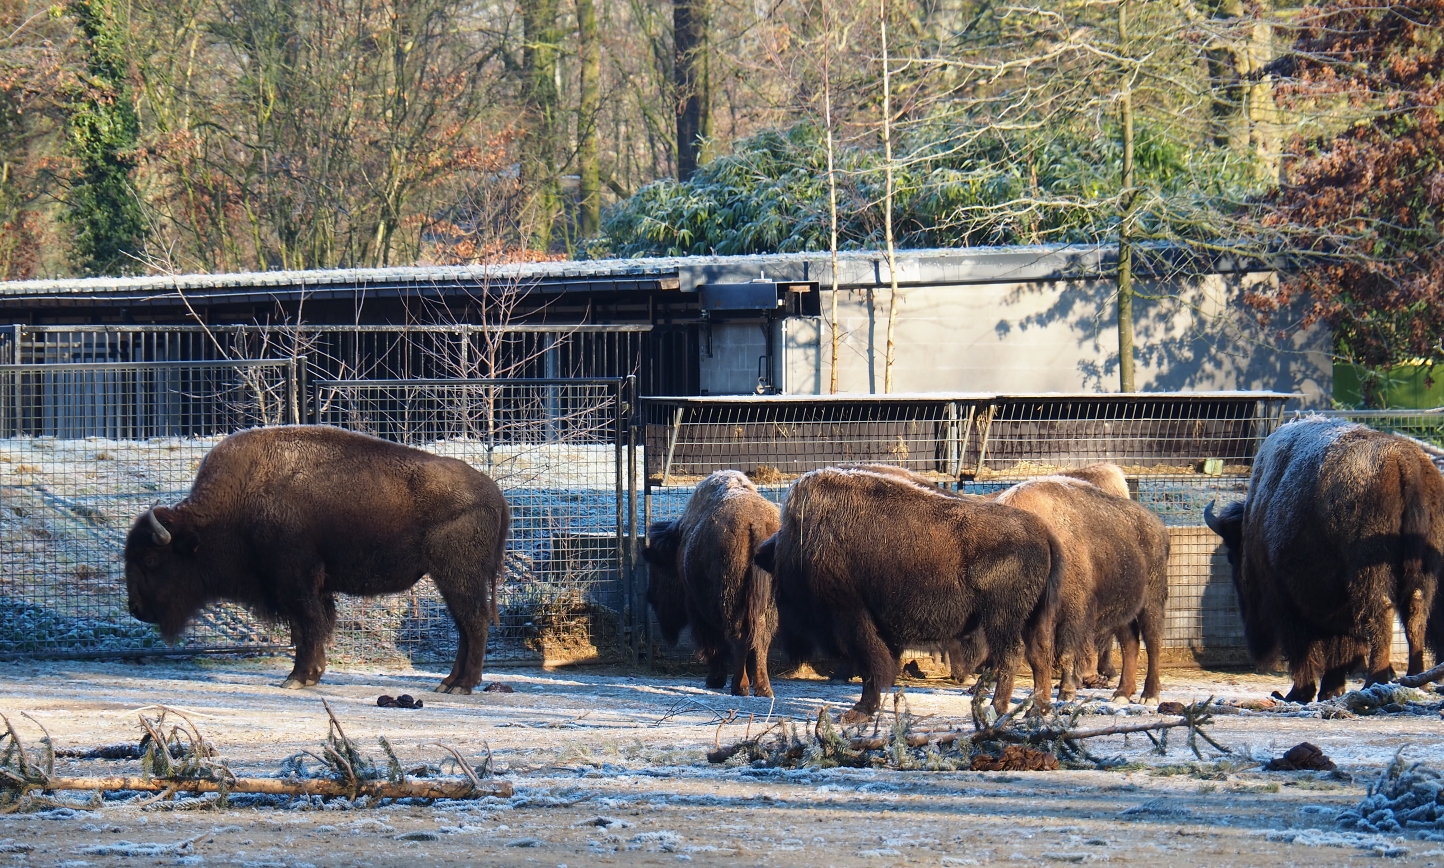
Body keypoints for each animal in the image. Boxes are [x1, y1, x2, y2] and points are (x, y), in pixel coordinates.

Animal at [124, 425, 510, 694]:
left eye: (150, 559)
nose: (136, 609)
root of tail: (494, 493)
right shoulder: (308, 588)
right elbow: (312, 627)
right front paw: (311, 675)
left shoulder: (295, 582)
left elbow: (308, 627)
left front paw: (296, 678)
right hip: (454, 578)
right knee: (465, 626)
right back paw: (449, 682)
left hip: (456, 575)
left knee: (473, 622)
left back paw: (461, 685)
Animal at [644, 470, 781, 696]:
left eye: (658, 567)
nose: (650, 597)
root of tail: (756, 522)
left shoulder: (696, 609)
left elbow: (712, 644)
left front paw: (714, 679)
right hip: (766, 604)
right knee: (760, 638)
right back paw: (762, 688)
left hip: (729, 603)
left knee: (738, 637)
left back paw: (739, 686)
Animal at [755, 467, 1063, 721]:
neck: (803, 543)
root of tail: (1044, 533)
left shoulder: (853, 619)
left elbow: (872, 664)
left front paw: (858, 712)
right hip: (1034, 618)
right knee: (1039, 655)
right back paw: (1037, 709)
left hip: (1002, 619)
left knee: (1011, 654)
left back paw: (998, 708)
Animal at [1204, 416, 1444, 701]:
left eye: (1232, 556)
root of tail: (1404, 460)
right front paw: (1330, 690)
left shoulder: (1288, 602)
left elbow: (1306, 648)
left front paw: (1299, 693)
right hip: (1421, 575)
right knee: (1415, 615)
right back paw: (1417, 681)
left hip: (1370, 576)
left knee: (1382, 617)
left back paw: (1374, 682)